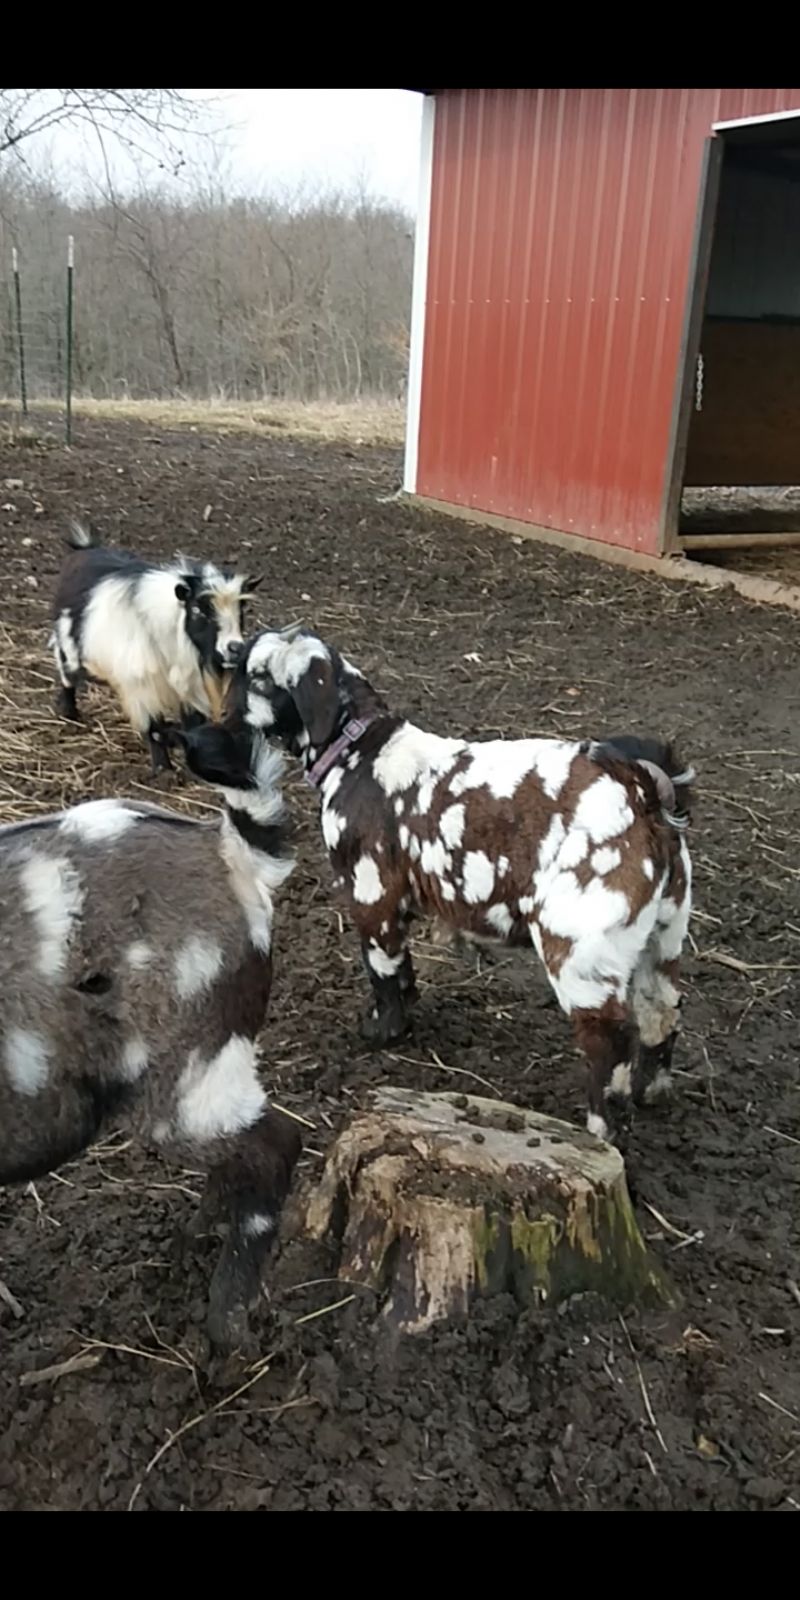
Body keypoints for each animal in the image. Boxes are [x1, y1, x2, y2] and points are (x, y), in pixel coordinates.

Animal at [50, 524, 262, 774]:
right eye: (198, 610)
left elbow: (193, 723)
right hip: (68, 645)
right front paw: (163, 770)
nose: (235, 648)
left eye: (242, 609)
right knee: (67, 676)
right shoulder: (144, 685)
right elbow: (154, 729)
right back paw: (69, 713)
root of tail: (86, 549)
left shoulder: (189, 684)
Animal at [227, 624, 694, 1139]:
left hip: (580, 947)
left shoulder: (372, 894)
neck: (360, 752)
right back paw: (651, 1092)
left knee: (608, 1041)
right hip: (663, 934)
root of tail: (642, 795)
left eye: (258, 676)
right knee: (661, 1011)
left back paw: (598, 1126)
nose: (223, 711)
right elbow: (402, 966)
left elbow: (381, 969)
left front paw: (382, 1033)